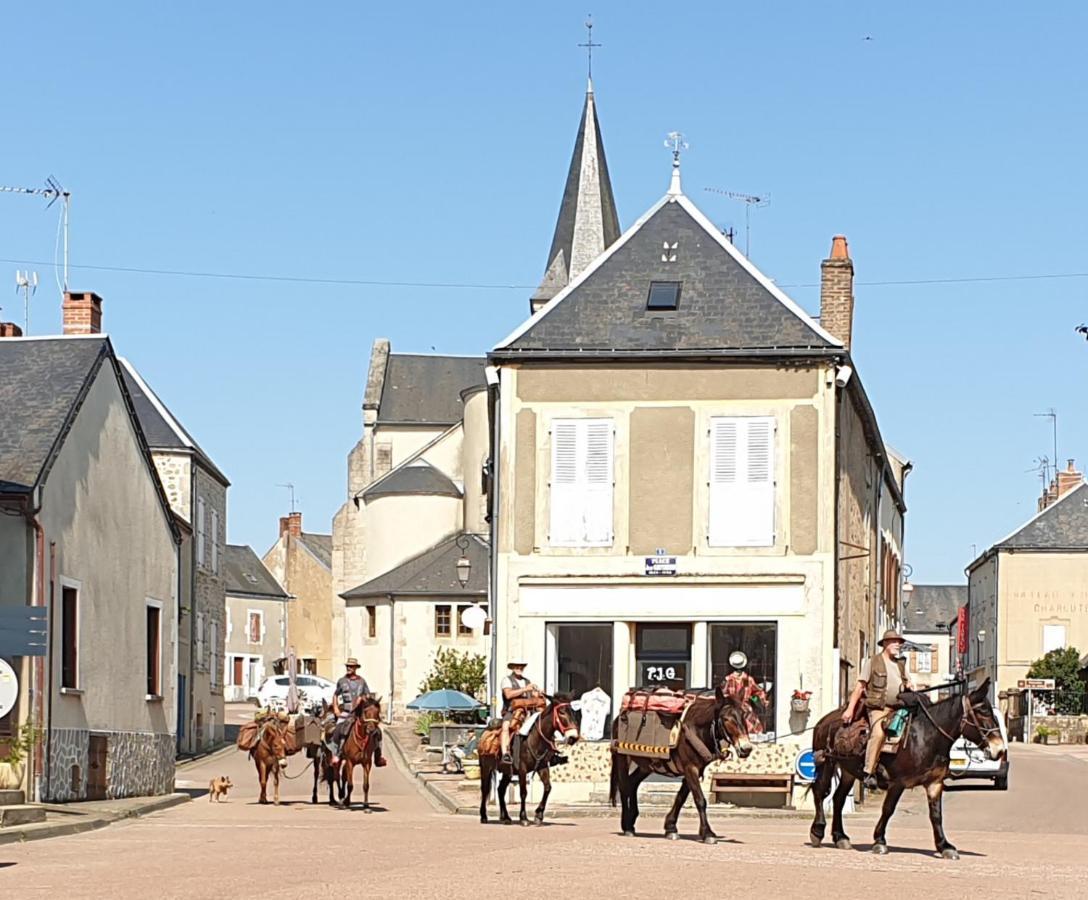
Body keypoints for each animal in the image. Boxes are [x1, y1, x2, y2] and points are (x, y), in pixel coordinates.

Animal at [609, 687, 752, 848]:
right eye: (726, 718)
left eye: (744, 715)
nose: (746, 748)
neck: (696, 729)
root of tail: (618, 717)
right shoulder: (690, 768)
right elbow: (700, 800)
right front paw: (707, 833)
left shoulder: (694, 770)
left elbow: (680, 798)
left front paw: (670, 828)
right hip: (622, 758)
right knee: (624, 787)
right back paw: (627, 826)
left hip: (646, 765)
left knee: (633, 783)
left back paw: (632, 821)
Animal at [809, 679, 1000, 861]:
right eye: (982, 712)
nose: (999, 749)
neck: (925, 736)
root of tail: (824, 721)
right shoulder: (898, 783)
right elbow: (888, 809)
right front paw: (879, 841)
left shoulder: (934, 783)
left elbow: (936, 815)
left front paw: (945, 846)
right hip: (827, 763)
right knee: (820, 792)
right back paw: (817, 832)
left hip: (849, 772)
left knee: (838, 798)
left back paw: (840, 837)